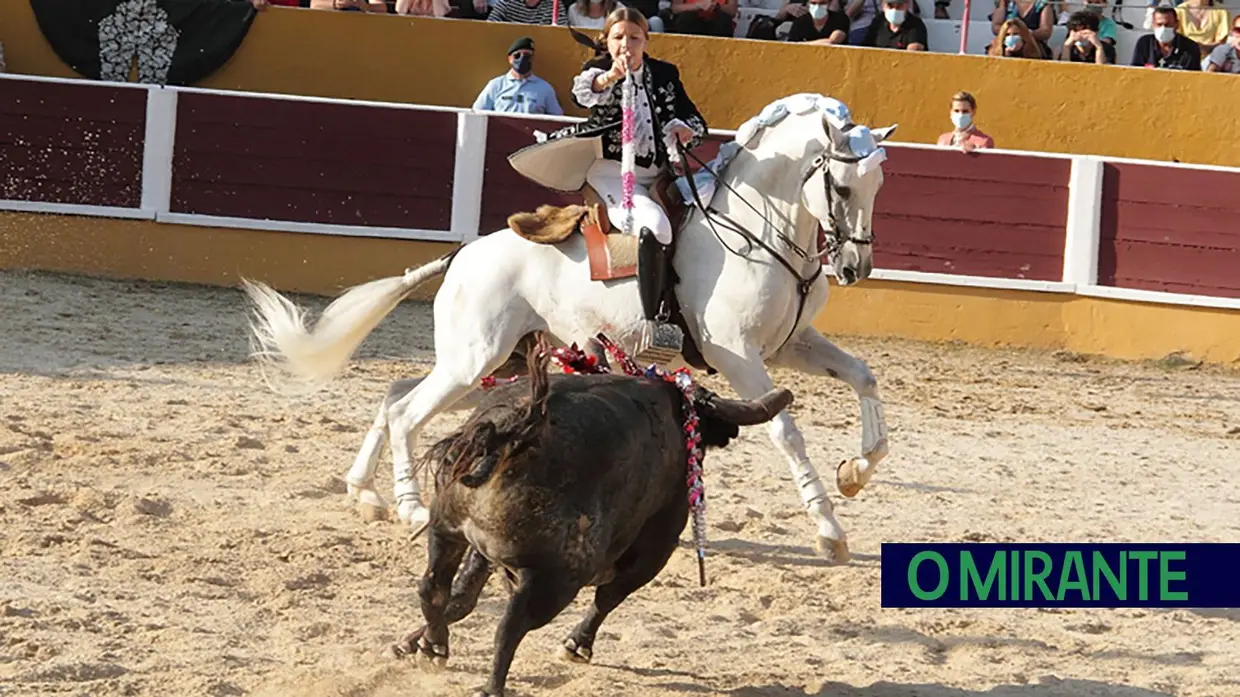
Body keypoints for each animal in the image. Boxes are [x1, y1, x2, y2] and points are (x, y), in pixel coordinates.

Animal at [246, 93, 897, 558]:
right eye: (841, 185)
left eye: (879, 184)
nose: (855, 267)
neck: (755, 233)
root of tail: (464, 254)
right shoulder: (737, 354)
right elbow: (786, 432)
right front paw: (830, 530)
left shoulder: (790, 345)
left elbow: (864, 377)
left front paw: (856, 472)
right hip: (474, 359)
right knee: (406, 411)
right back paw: (409, 506)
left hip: (492, 364)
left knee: (394, 394)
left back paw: (365, 493)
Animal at [391, 344, 788, 689]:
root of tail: (515, 431)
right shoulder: (655, 550)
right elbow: (608, 597)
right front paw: (577, 645)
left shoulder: (480, 548)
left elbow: (463, 595)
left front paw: (413, 642)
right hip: (557, 577)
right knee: (511, 624)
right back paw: (491, 687)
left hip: (446, 529)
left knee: (434, 588)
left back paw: (434, 646)